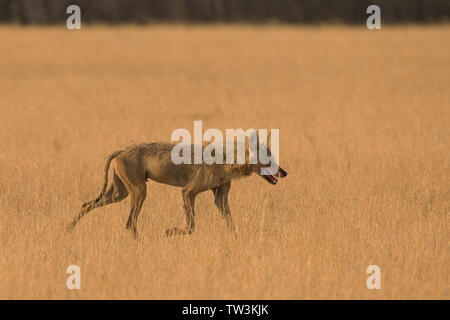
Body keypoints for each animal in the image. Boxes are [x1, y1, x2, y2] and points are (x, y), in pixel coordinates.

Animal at [65, 134, 286, 239]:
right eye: (269, 159)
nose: (284, 173)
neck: (228, 159)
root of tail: (120, 150)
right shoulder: (188, 192)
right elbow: (191, 226)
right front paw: (170, 232)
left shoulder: (220, 199)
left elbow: (232, 224)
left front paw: (237, 240)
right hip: (138, 192)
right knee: (130, 222)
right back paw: (142, 244)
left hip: (120, 194)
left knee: (87, 205)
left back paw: (69, 229)